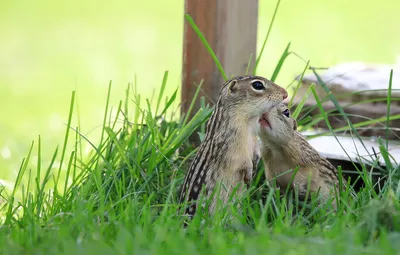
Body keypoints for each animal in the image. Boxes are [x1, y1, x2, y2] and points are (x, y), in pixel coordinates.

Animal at [179, 75, 288, 217]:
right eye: (258, 85)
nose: (286, 94)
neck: (249, 122)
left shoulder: (254, 137)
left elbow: (256, 150)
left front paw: (255, 163)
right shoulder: (232, 145)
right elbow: (241, 159)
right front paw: (249, 171)